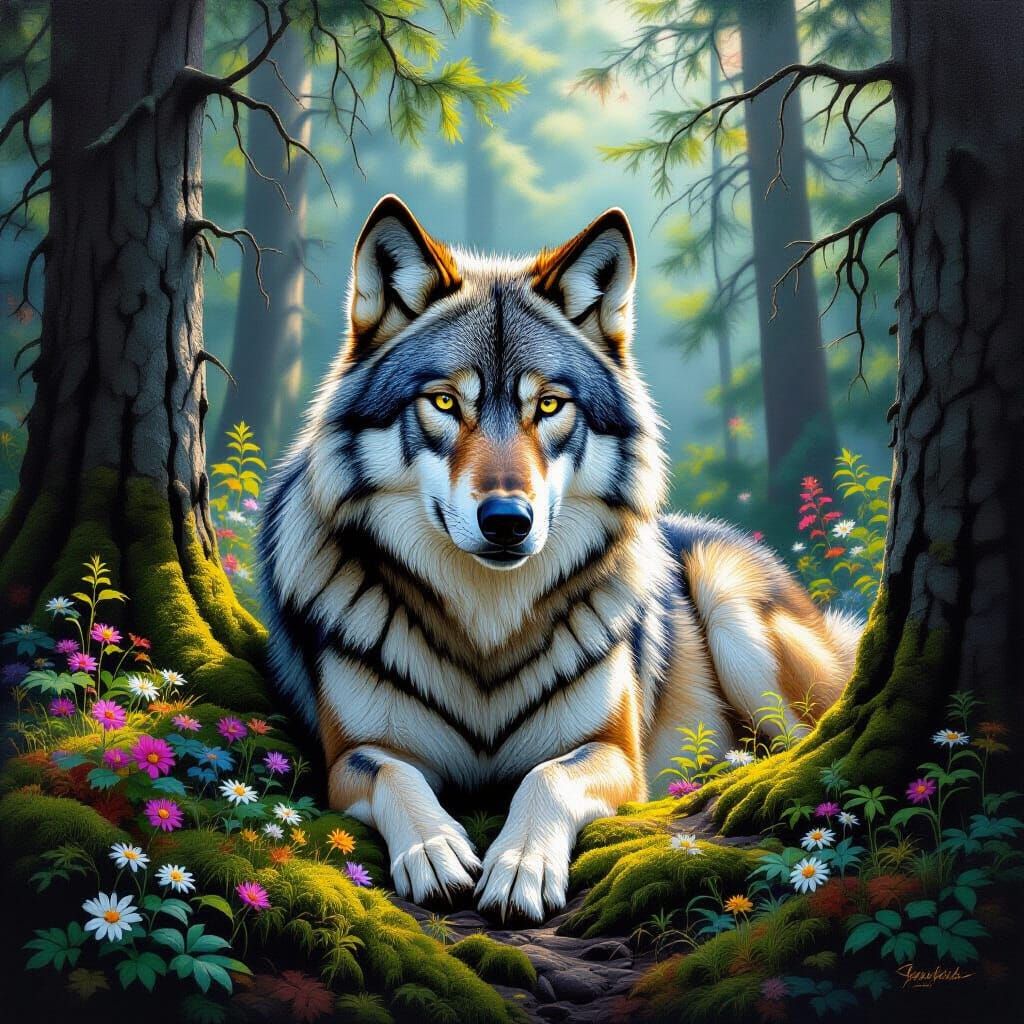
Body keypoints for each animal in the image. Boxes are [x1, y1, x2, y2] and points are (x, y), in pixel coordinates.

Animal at [258, 195, 861, 922]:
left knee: (809, 746)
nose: (507, 522)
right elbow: (395, 774)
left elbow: (546, 775)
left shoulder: (615, 752)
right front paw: (434, 848)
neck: (488, 626)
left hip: (734, 617)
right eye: (443, 401)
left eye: (548, 405)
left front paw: (520, 865)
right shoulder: (350, 756)